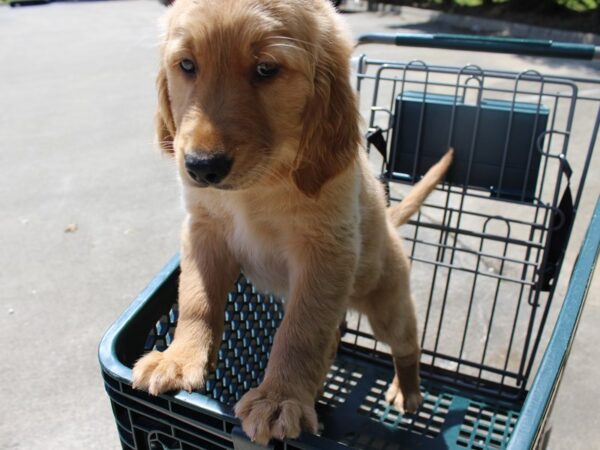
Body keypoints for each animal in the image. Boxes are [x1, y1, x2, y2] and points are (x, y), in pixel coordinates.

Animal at [131, 0, 450, 442]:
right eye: (187, 65)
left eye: (267, 69)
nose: (201, 167)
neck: (260, 185)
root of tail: (389, 222)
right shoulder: (203, 231)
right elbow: (196, 299)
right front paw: (178, 358)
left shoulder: (324, 252)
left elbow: (300, 330)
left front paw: (280, 397)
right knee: (334, 338)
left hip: (388, 303)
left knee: (407, 343)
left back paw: (408, 390)